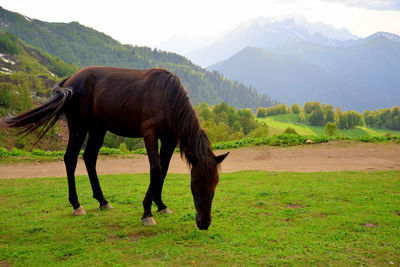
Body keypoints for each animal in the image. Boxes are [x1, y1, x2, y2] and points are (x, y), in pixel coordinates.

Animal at [0, 66, 227, 230]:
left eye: (216, 183)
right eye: (195, 184)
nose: (204, 223)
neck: (166, 96)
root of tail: (70, 81)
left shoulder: (170, 139)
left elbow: (163, 172)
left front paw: (160, 205)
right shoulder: (150, 134)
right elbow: (156, 170)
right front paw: (147, 212)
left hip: (97, 129)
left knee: (89, 158)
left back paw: (102, 201)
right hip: (78, 127)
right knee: (70, 159)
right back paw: (76, 205)